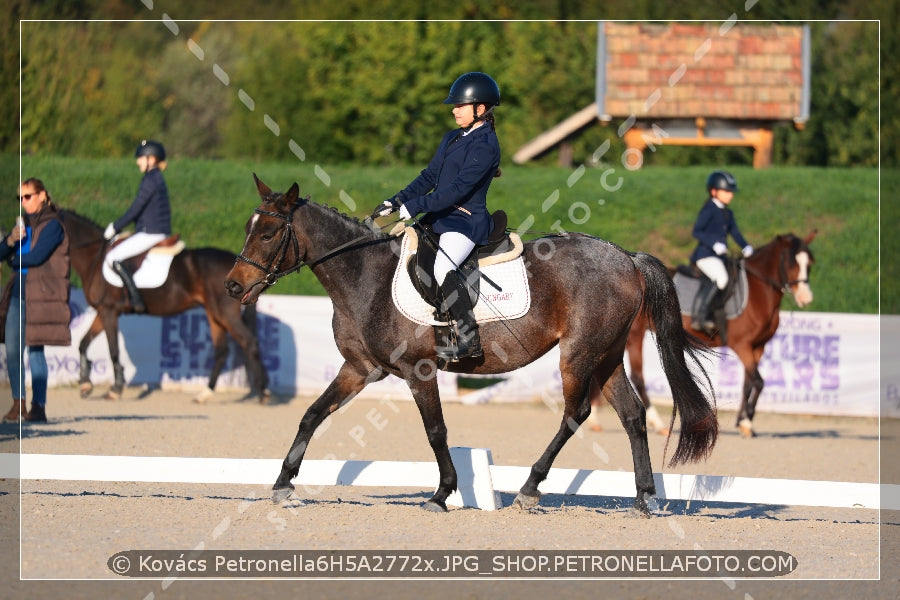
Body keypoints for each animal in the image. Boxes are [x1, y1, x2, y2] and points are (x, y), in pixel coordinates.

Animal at [59, 211, 268, 404]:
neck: (94, 256)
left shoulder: (109, 310)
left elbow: (113, 349)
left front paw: (115, 389)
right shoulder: (103, 311)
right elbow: (83, 343)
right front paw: (85, 385)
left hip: (225, 314)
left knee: (249, 342)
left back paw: (263, 393)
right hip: (214, 313)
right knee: (222, 351)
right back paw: (205, 393)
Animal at [624, 232, 820, 438]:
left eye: (809, 263)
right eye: (791, 263)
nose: (806, 299)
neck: (758, 291)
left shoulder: (758, 346)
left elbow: (748, 384)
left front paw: (743, 422)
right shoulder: (742, 345)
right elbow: (758, 382)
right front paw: (747, 421)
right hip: (635, 335)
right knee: (638, 377)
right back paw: (657, 423)